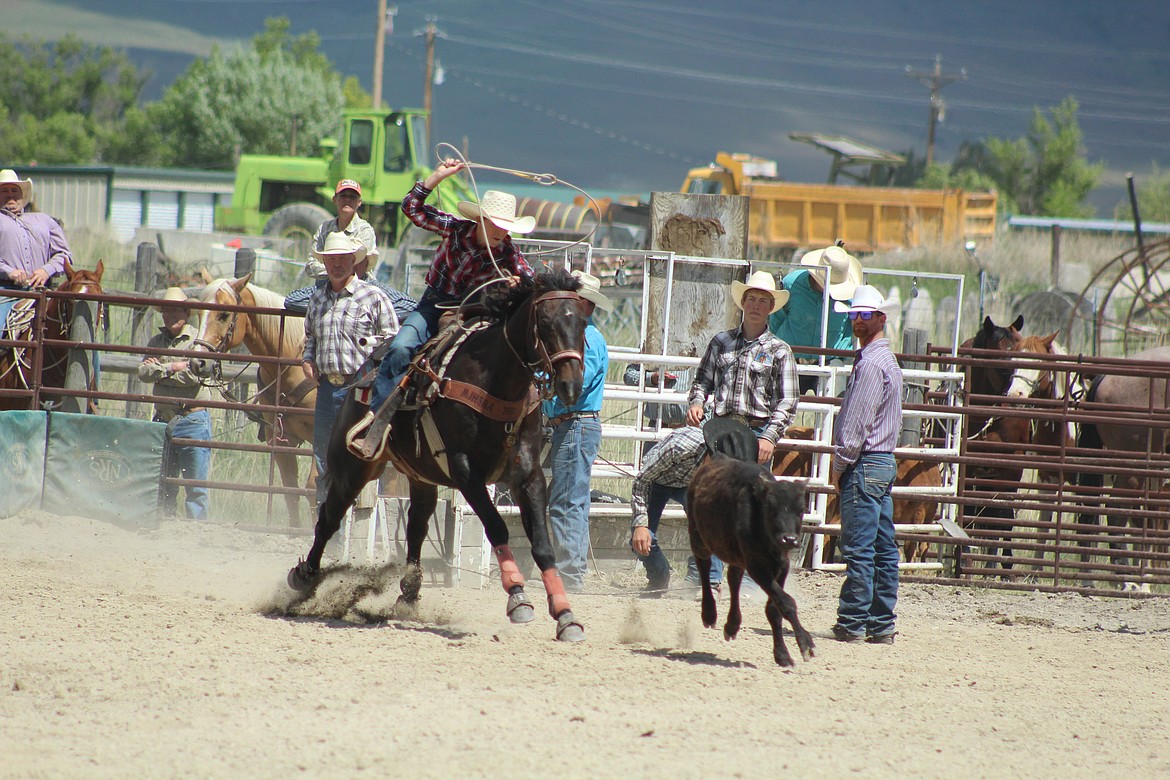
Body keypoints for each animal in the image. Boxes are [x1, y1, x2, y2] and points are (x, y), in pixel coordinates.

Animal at [188, 277, 318, 528]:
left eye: (224, 315)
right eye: (199, 312)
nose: (198, 363)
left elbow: (314, 489)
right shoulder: (280, 439)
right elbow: (291, 491)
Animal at [284, 271, 594, 645]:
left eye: (583, 322)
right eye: (545, 323)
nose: (571, 386)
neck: (496, 382)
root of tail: (362, 374)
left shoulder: (529, 476)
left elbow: (544, 547)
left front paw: (565, 615)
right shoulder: (464, 471)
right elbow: (497, 527)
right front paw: (518, 597)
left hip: (421, 477)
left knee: (416, 524)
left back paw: (408, 592)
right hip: (352, 468)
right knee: (328, 518)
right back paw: (305, 574)